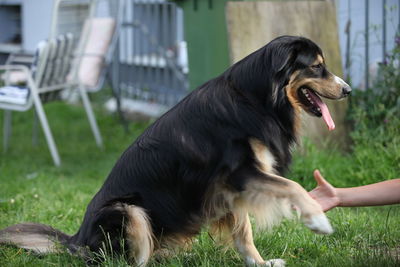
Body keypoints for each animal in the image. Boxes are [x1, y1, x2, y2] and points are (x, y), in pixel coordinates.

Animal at [0, 35, 350, 266]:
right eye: (317, 67)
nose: (347, 90)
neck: (256, 98)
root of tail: (77, 241)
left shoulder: (230, 187)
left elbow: (244, 232)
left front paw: (259, 263)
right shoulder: (241, 172)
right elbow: (293, 187)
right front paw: (318, 221)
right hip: (127, 211)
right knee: (129, 261)